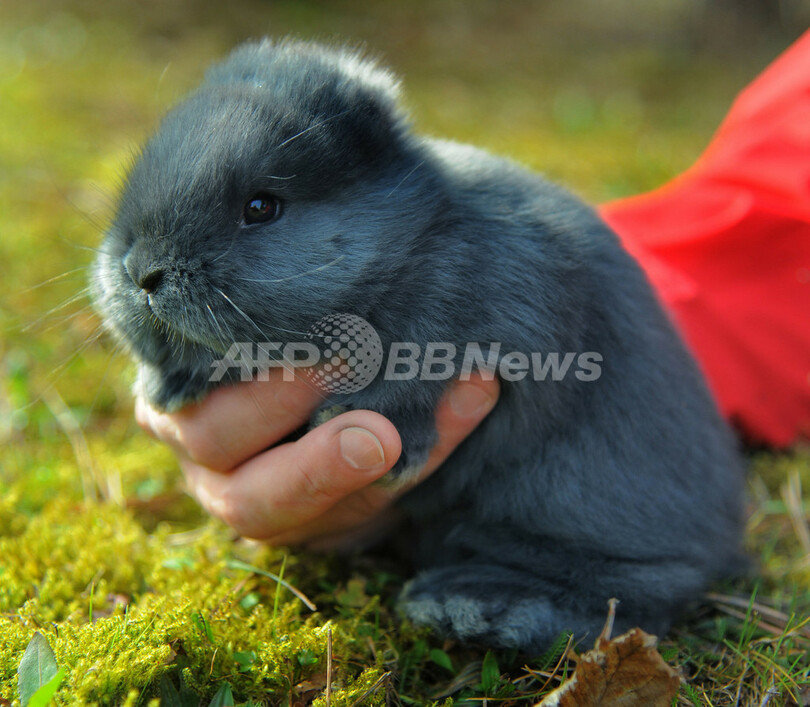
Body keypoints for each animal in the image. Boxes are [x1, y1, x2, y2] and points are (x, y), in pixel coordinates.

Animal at [93, 40, 744, 652]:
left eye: (261, 207)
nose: (140, 272)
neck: (406, 246)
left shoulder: (469, 331)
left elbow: (406, 390)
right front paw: (167, 387)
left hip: (573, 508)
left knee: (631, 593)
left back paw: (471, 606)